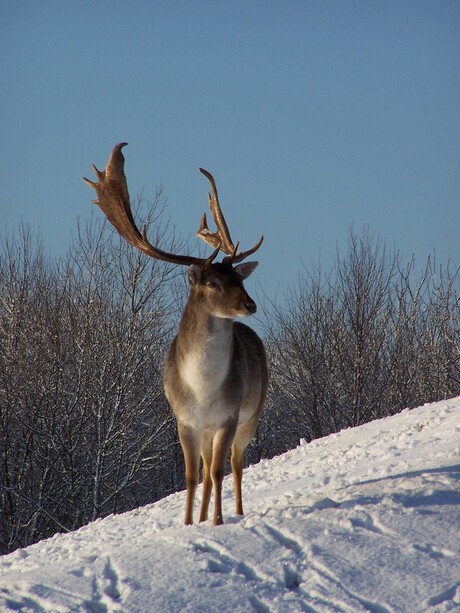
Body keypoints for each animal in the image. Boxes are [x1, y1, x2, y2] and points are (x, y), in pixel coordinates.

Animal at [84, 141, 268, 524]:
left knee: (234, 464)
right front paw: (187, 523)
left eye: (239, 278)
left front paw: (218, 522)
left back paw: (237, 511)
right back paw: (201, 516)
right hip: (208, 430)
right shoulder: (184, 421)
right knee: (208, 469)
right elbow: (191, 476)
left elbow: (219, 472)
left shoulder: (228, 417)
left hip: (252, 414)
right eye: (213, 283)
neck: (203, 389)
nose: (250, 305)